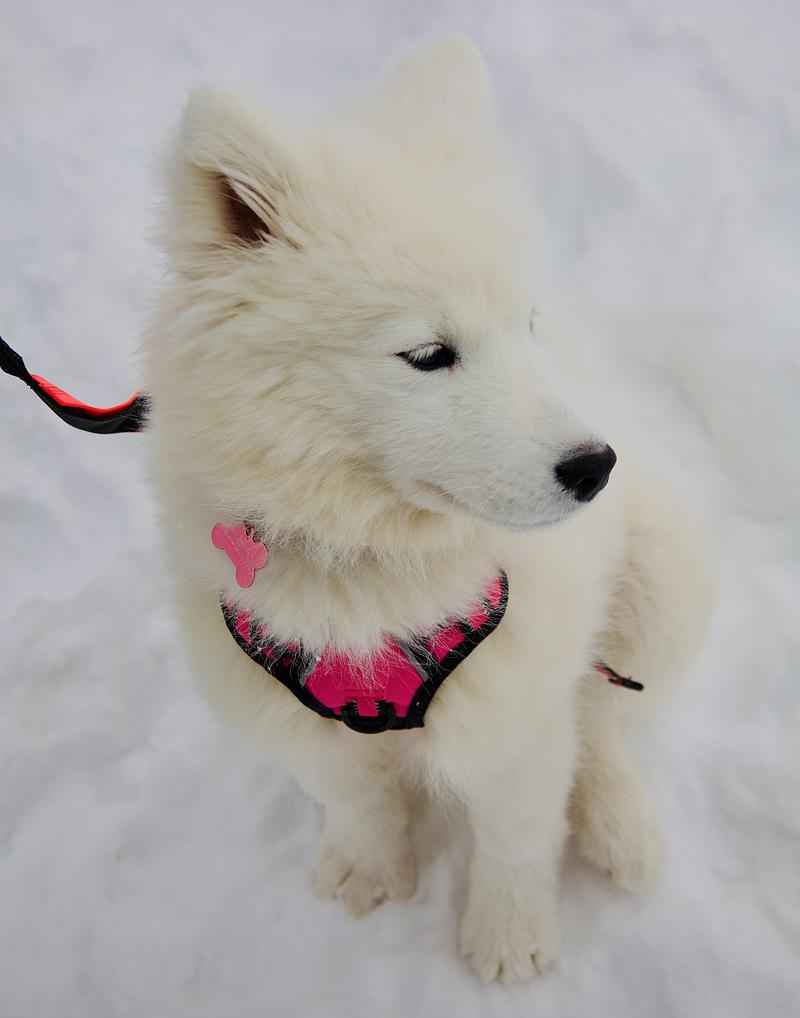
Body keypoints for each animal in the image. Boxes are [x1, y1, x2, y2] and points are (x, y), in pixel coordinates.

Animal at [141, 34, 714, 983]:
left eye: (527, 323)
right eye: (427, 354)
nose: (595, 467)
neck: (375, 572)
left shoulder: (514, 702)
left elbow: (517, 837)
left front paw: (509, 941)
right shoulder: (284, 705)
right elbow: (357, 801)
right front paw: (370, 874)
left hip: (665, 577)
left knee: (603, 723)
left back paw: (621, 827)